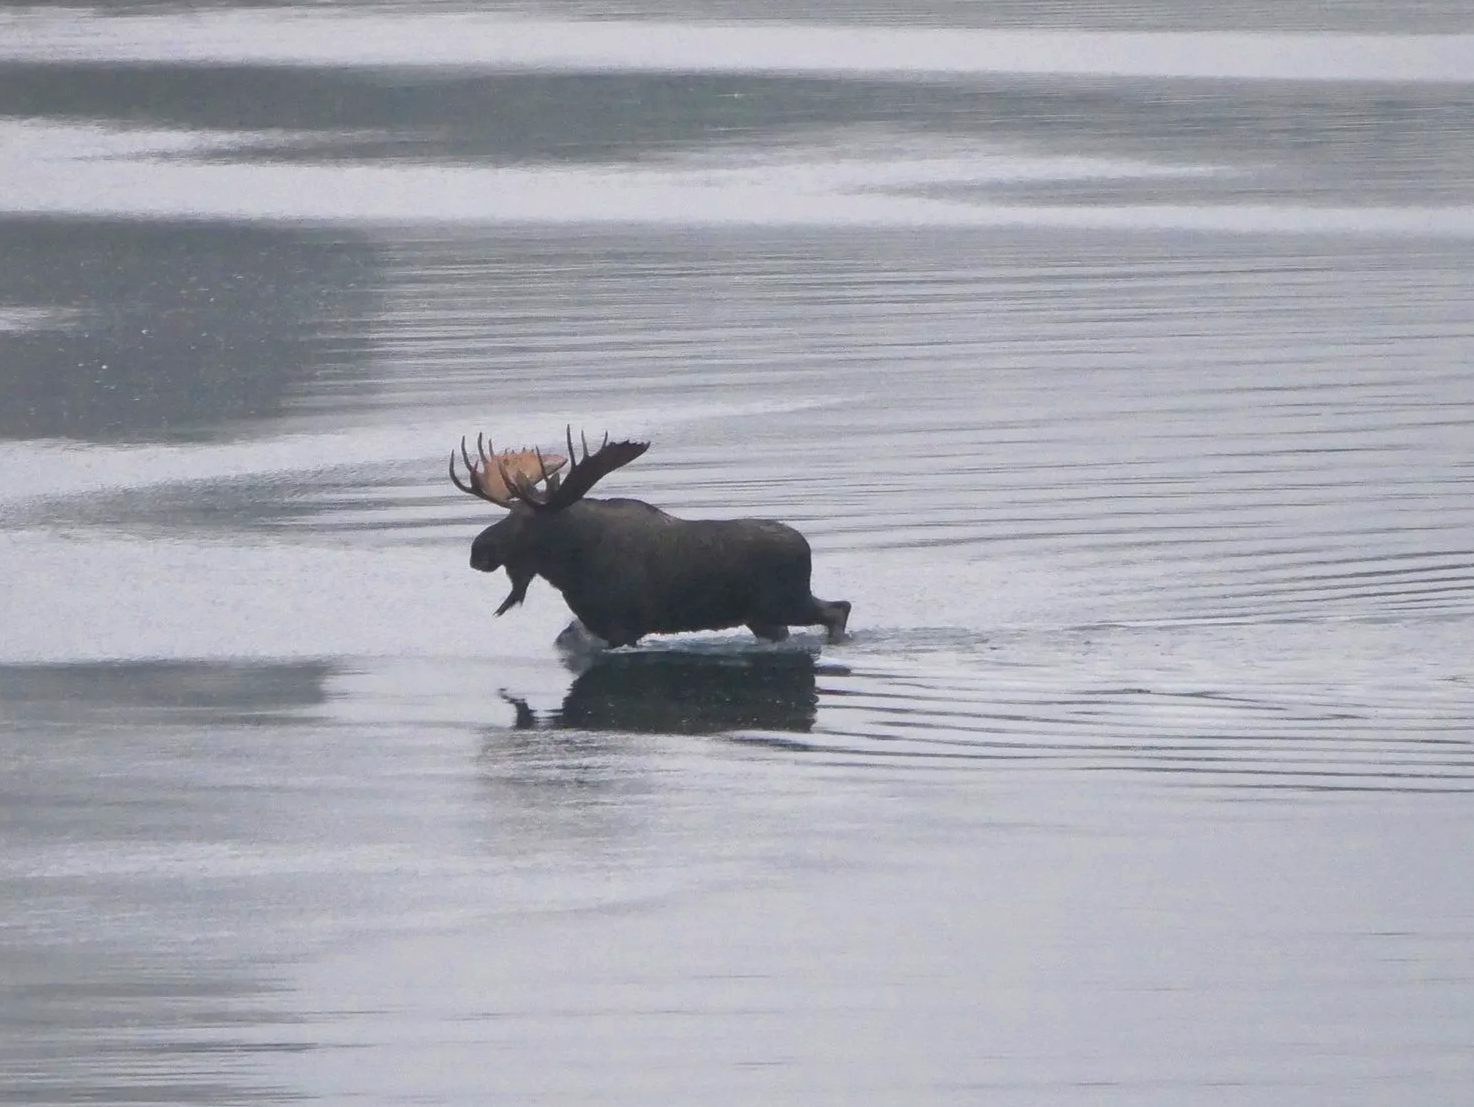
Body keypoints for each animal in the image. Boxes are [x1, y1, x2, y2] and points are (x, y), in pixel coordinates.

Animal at [449, 429, 851, 649]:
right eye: (508, 513)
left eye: (527, 521)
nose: (478, 550)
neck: (570, 569)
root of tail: (806, 548)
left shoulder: (621, 627)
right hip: (763, 616)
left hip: (784, 602)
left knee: (839, 608)